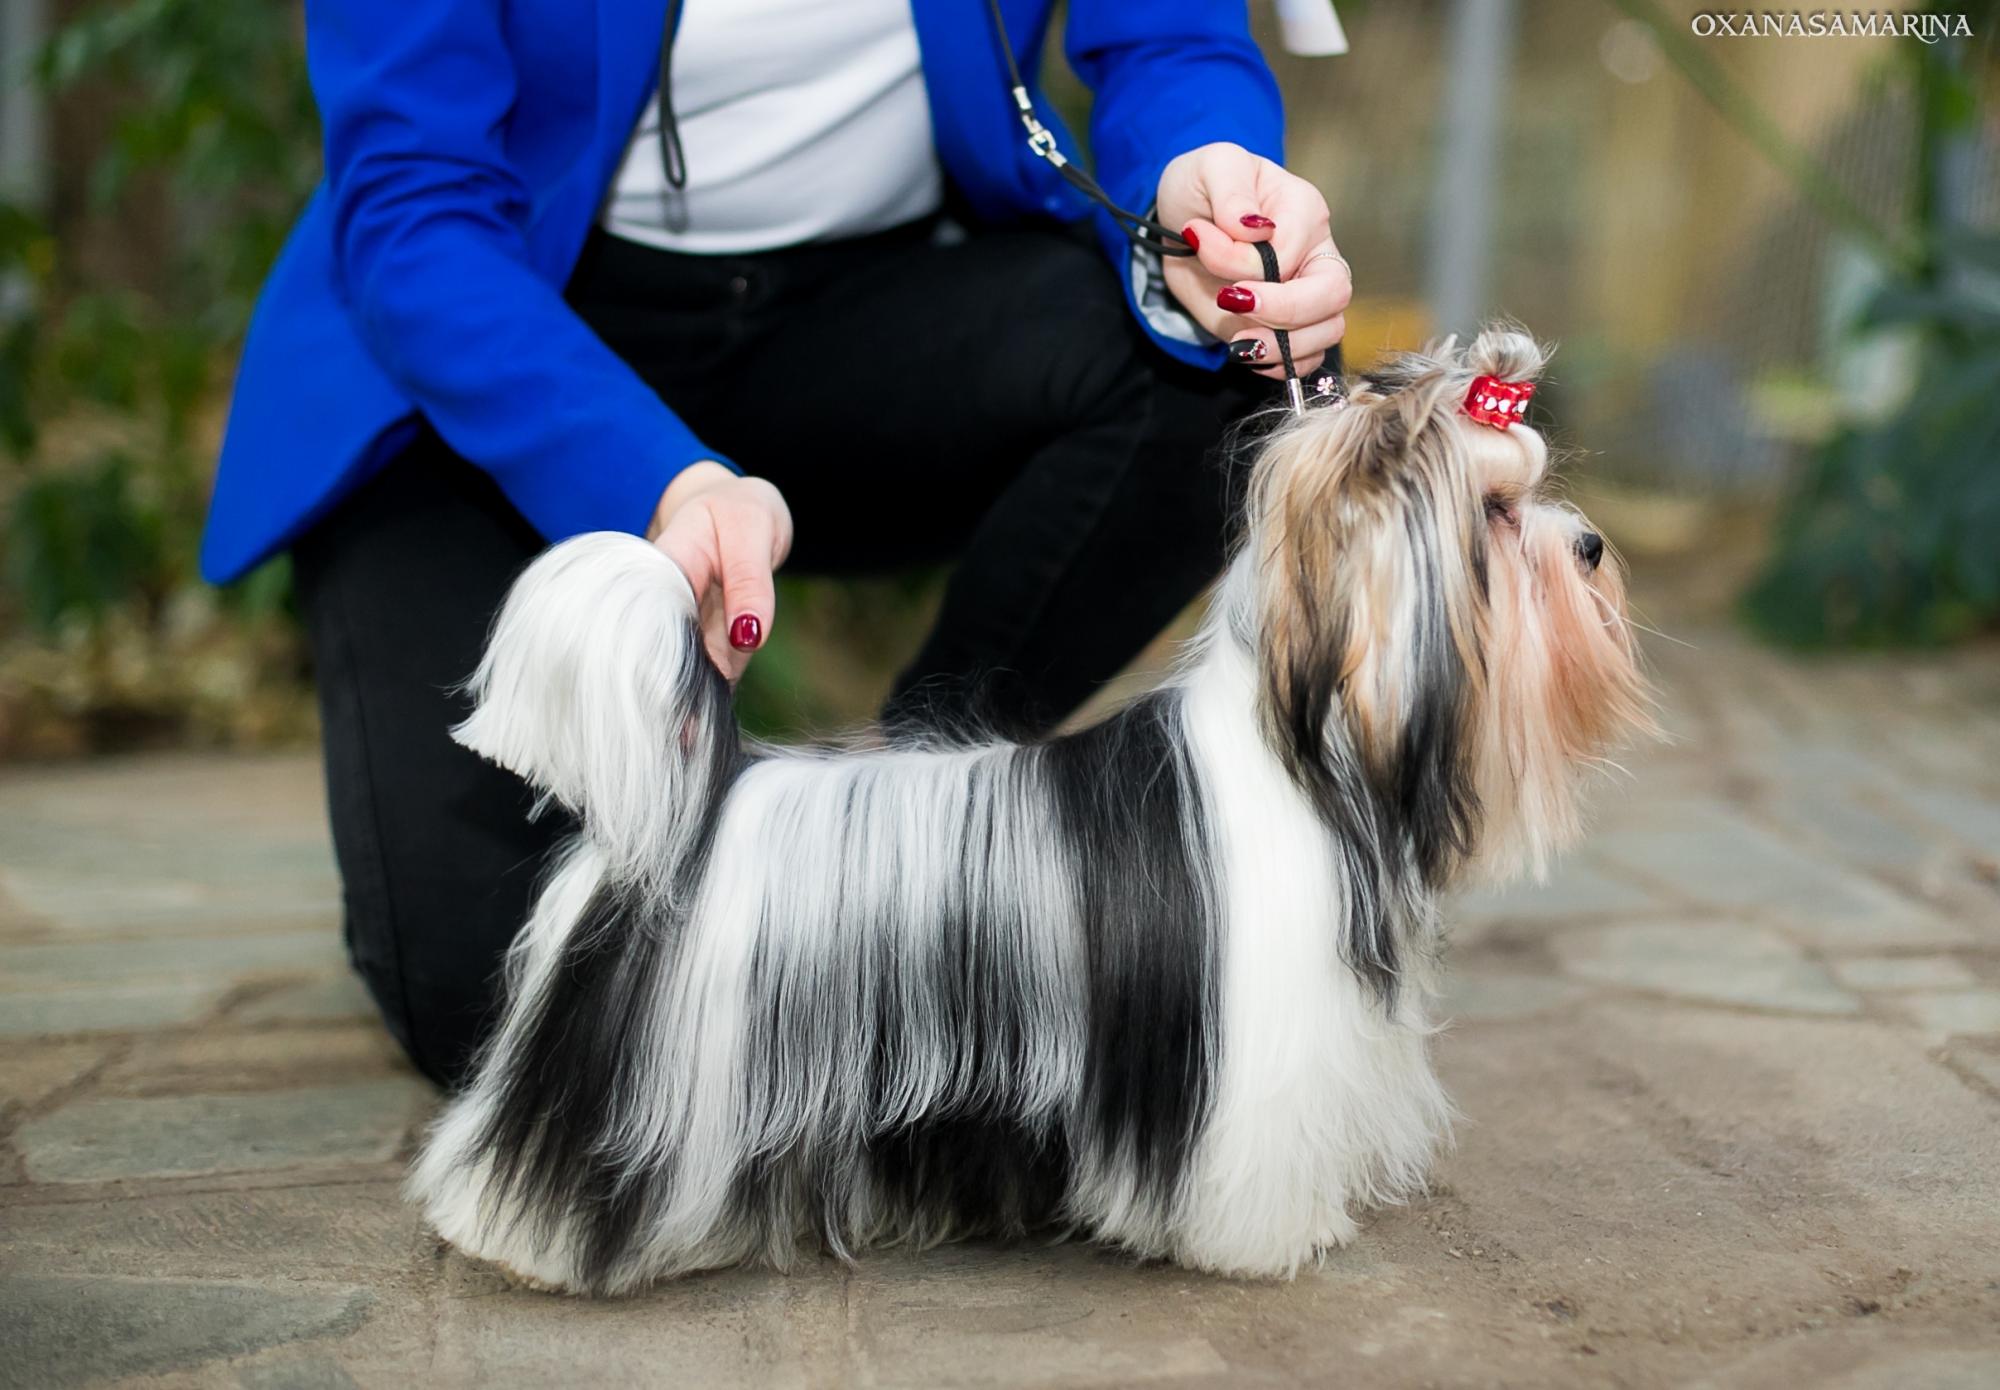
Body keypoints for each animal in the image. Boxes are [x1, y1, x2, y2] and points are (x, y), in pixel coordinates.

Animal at [414, 324, 1648, 1296]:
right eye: (1497, 513)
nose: (1591, 544)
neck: (1310, 748)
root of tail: (689, 806)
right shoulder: (1250, 1057)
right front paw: (1271, 1241)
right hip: (645, 1070)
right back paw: (522, 1237)